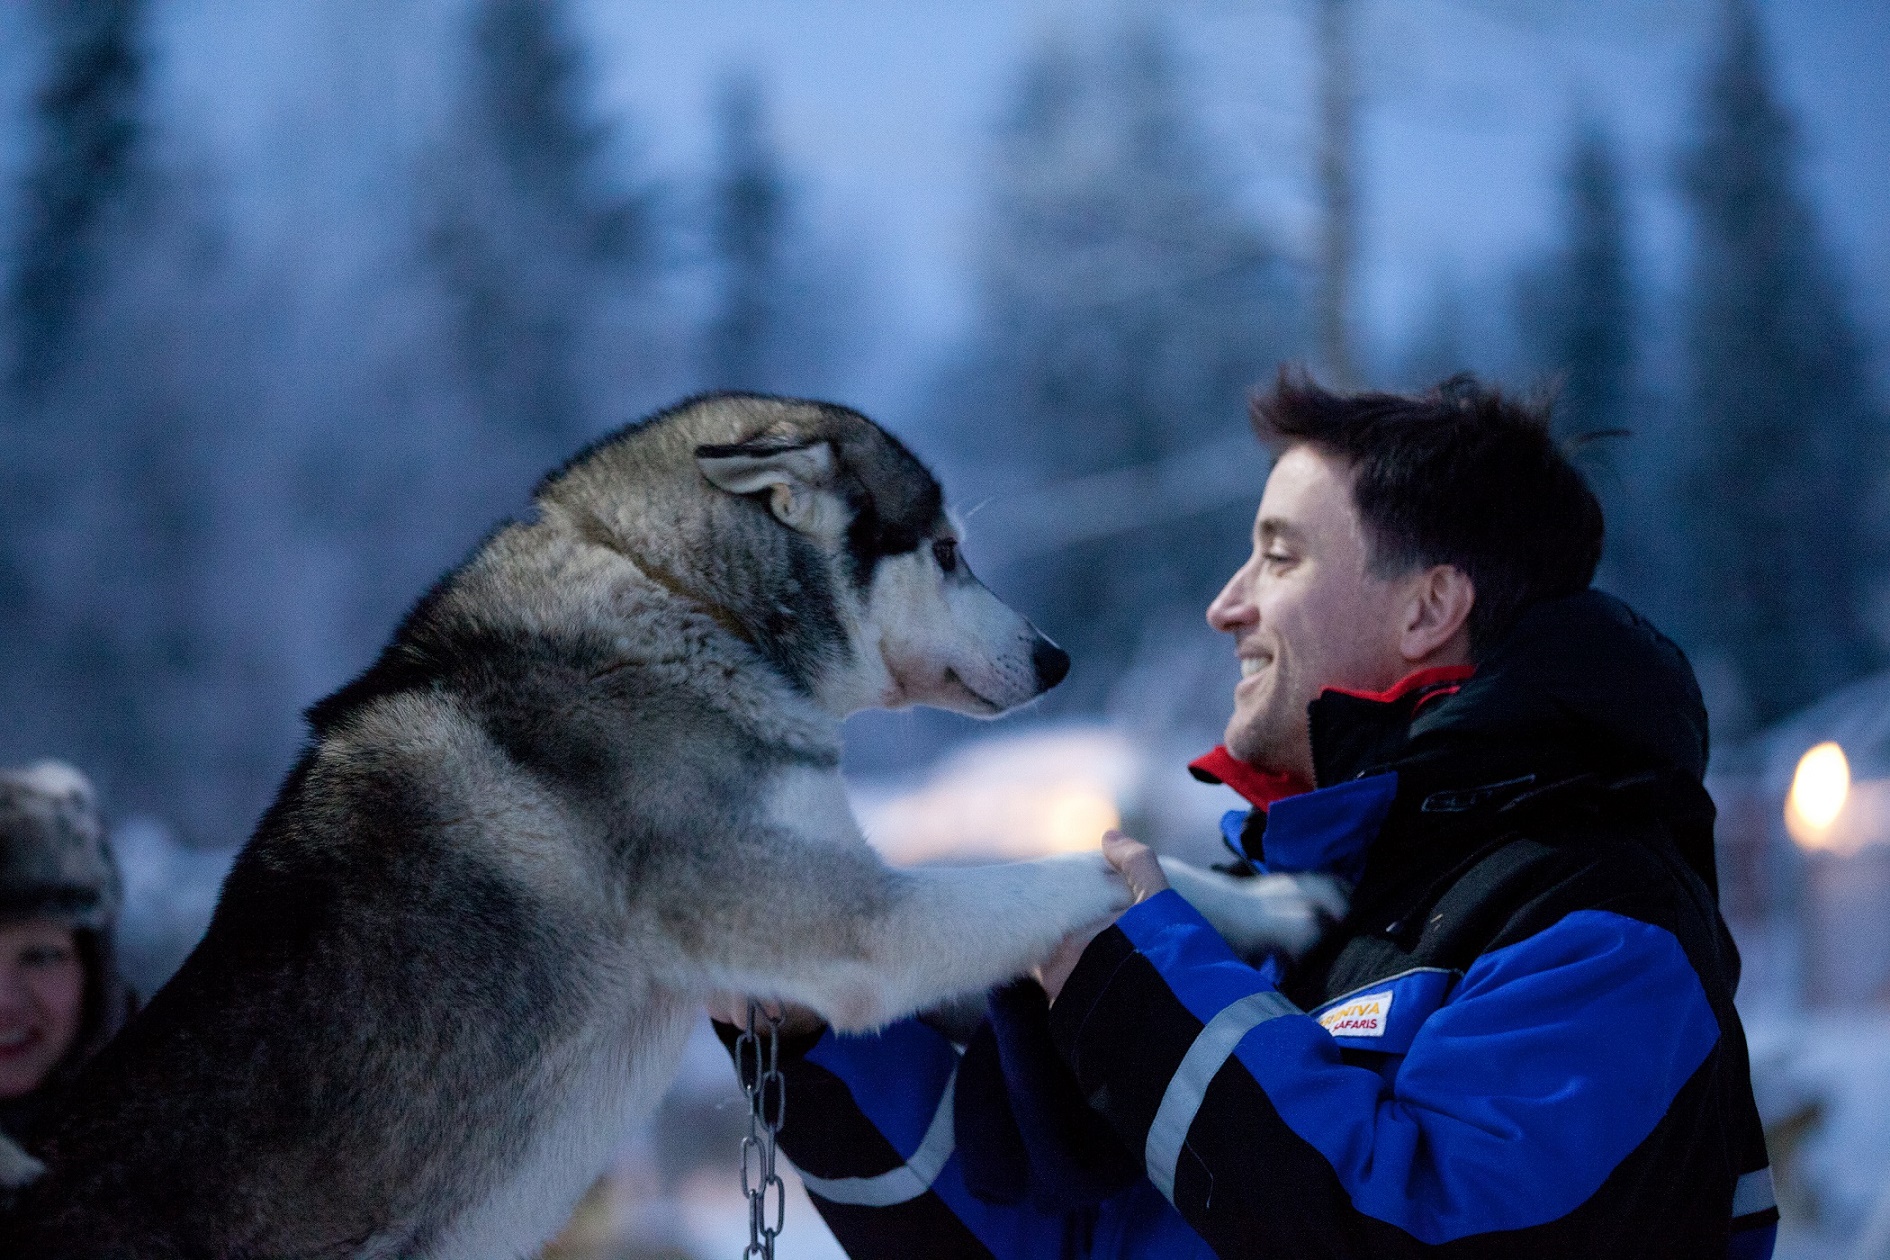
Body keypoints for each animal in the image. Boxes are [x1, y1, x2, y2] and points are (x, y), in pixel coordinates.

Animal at [14, 396, 1345, 1260]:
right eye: (948, 550)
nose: (1061, 656)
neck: (684, 604)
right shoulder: (860, 922)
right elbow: (1082, 871)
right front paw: (1269, 903)